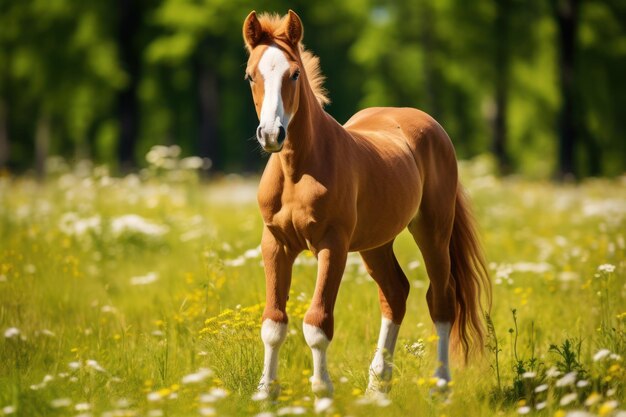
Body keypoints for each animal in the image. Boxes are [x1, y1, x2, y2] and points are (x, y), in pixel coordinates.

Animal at [241, 9, 490, 398]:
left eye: (293, 73)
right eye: (251, 75)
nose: (271, 134)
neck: (298, 170)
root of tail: (429, 125)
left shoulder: (332, 246)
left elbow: (317, 323)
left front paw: (322, 392)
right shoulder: (276, 245)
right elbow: (273, 323)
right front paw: (266, 394)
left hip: (433, 231)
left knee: (441, 301)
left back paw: (440, 386)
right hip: (376, 244)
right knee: (395, 294)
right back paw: (378, 386)